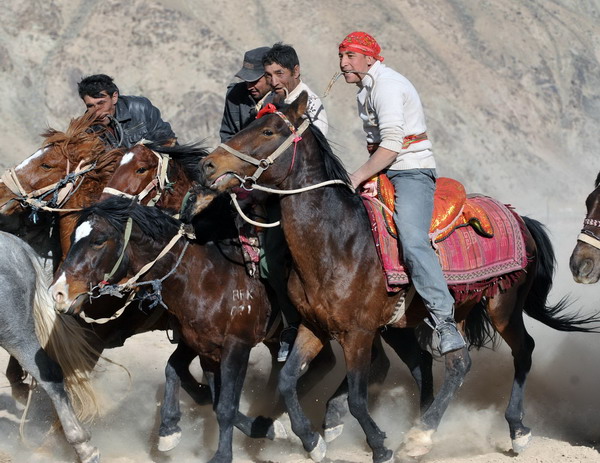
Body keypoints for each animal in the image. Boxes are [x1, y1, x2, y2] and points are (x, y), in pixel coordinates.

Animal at [48, 197, 286, 463]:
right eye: (72, 238)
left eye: (99, 240)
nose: (58, 293)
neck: (207, 278)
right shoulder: (204, 347)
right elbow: (208, 394)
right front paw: (170, 428)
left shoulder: (237, 347)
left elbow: (225, 405)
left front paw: (224, 453)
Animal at [189, 92, 600, 462]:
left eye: (269, 130)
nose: (208, 165)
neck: (338, 242)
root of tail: (519, 217)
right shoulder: (313, 326)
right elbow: (289, 381)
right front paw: (311, 439)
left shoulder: (357, 334)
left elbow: (358, 397)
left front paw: (378, 445)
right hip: (456, 311)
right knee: (456, 364)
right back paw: (422, 431)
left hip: (503, 307)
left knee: (519, 351)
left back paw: (502, 431)